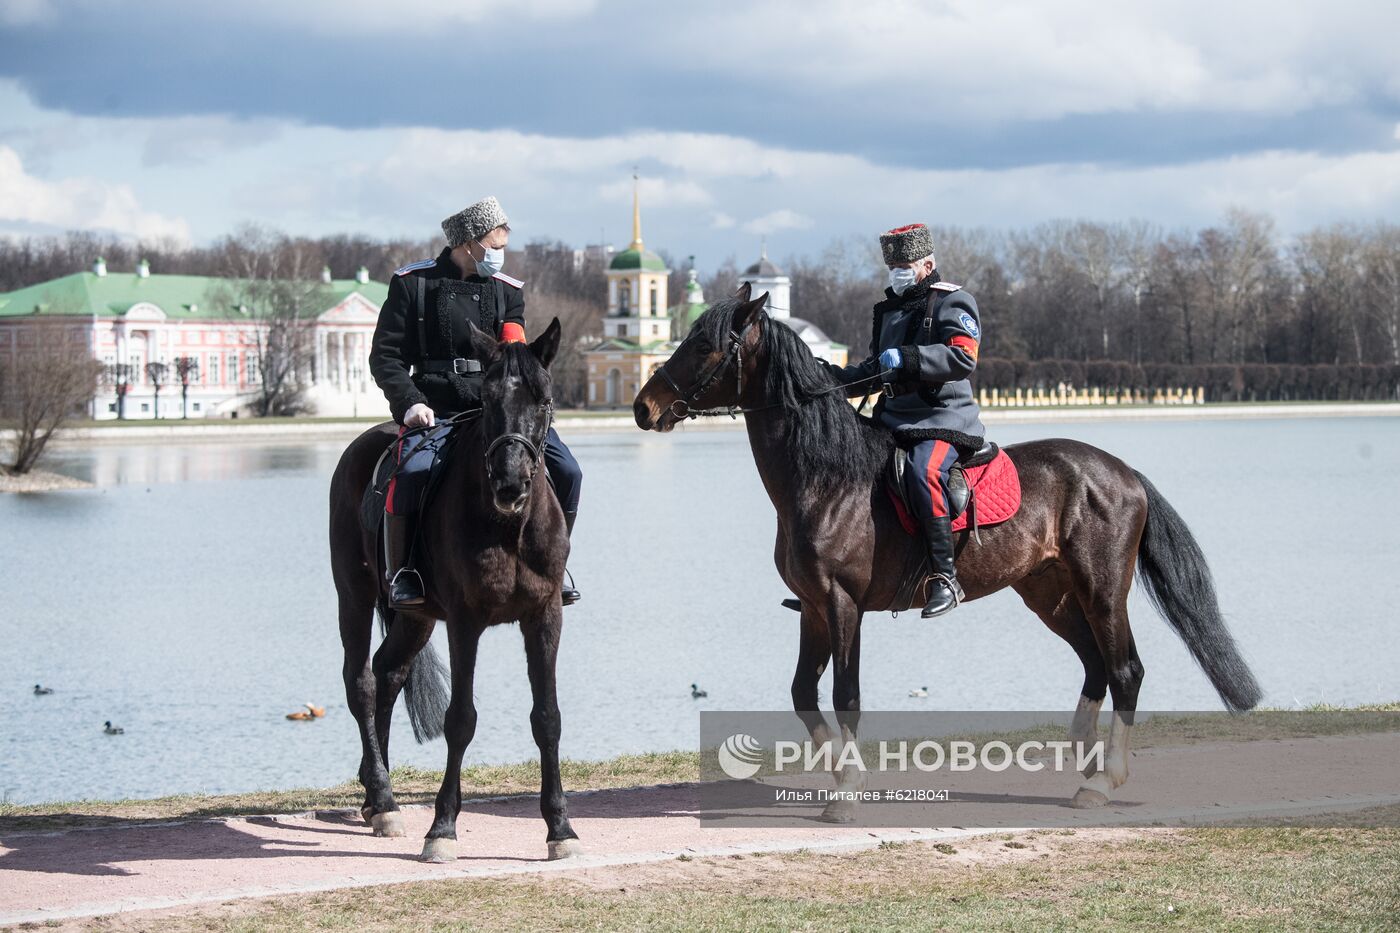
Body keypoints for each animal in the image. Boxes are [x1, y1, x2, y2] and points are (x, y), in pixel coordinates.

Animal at [326, 318, 579, 857]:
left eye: (544, 399)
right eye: (487, 399)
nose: (510, 484)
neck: (508, 527)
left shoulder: (545, 614)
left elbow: (547, 717)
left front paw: (560, 827)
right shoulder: (466, 621)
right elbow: (460, 719)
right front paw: (442, 827)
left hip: (416, 617)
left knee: (388, 673)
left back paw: (376, 794)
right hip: (353, 594)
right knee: (361, 682)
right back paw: (384, 798)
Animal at [635, 287, 1260, 818]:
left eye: (704, 345)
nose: (644, 407)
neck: (826, 478)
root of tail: (1122, 469)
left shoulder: (842, 604)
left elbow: (844, 694)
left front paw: (847, 789)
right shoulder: (813, 607)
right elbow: (802, 694)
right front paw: (843, 774)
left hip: (1102, 589)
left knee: (1125, 669)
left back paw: (1105, 780)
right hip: (1050, 594)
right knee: (1096, 666)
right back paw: (1085, 762)